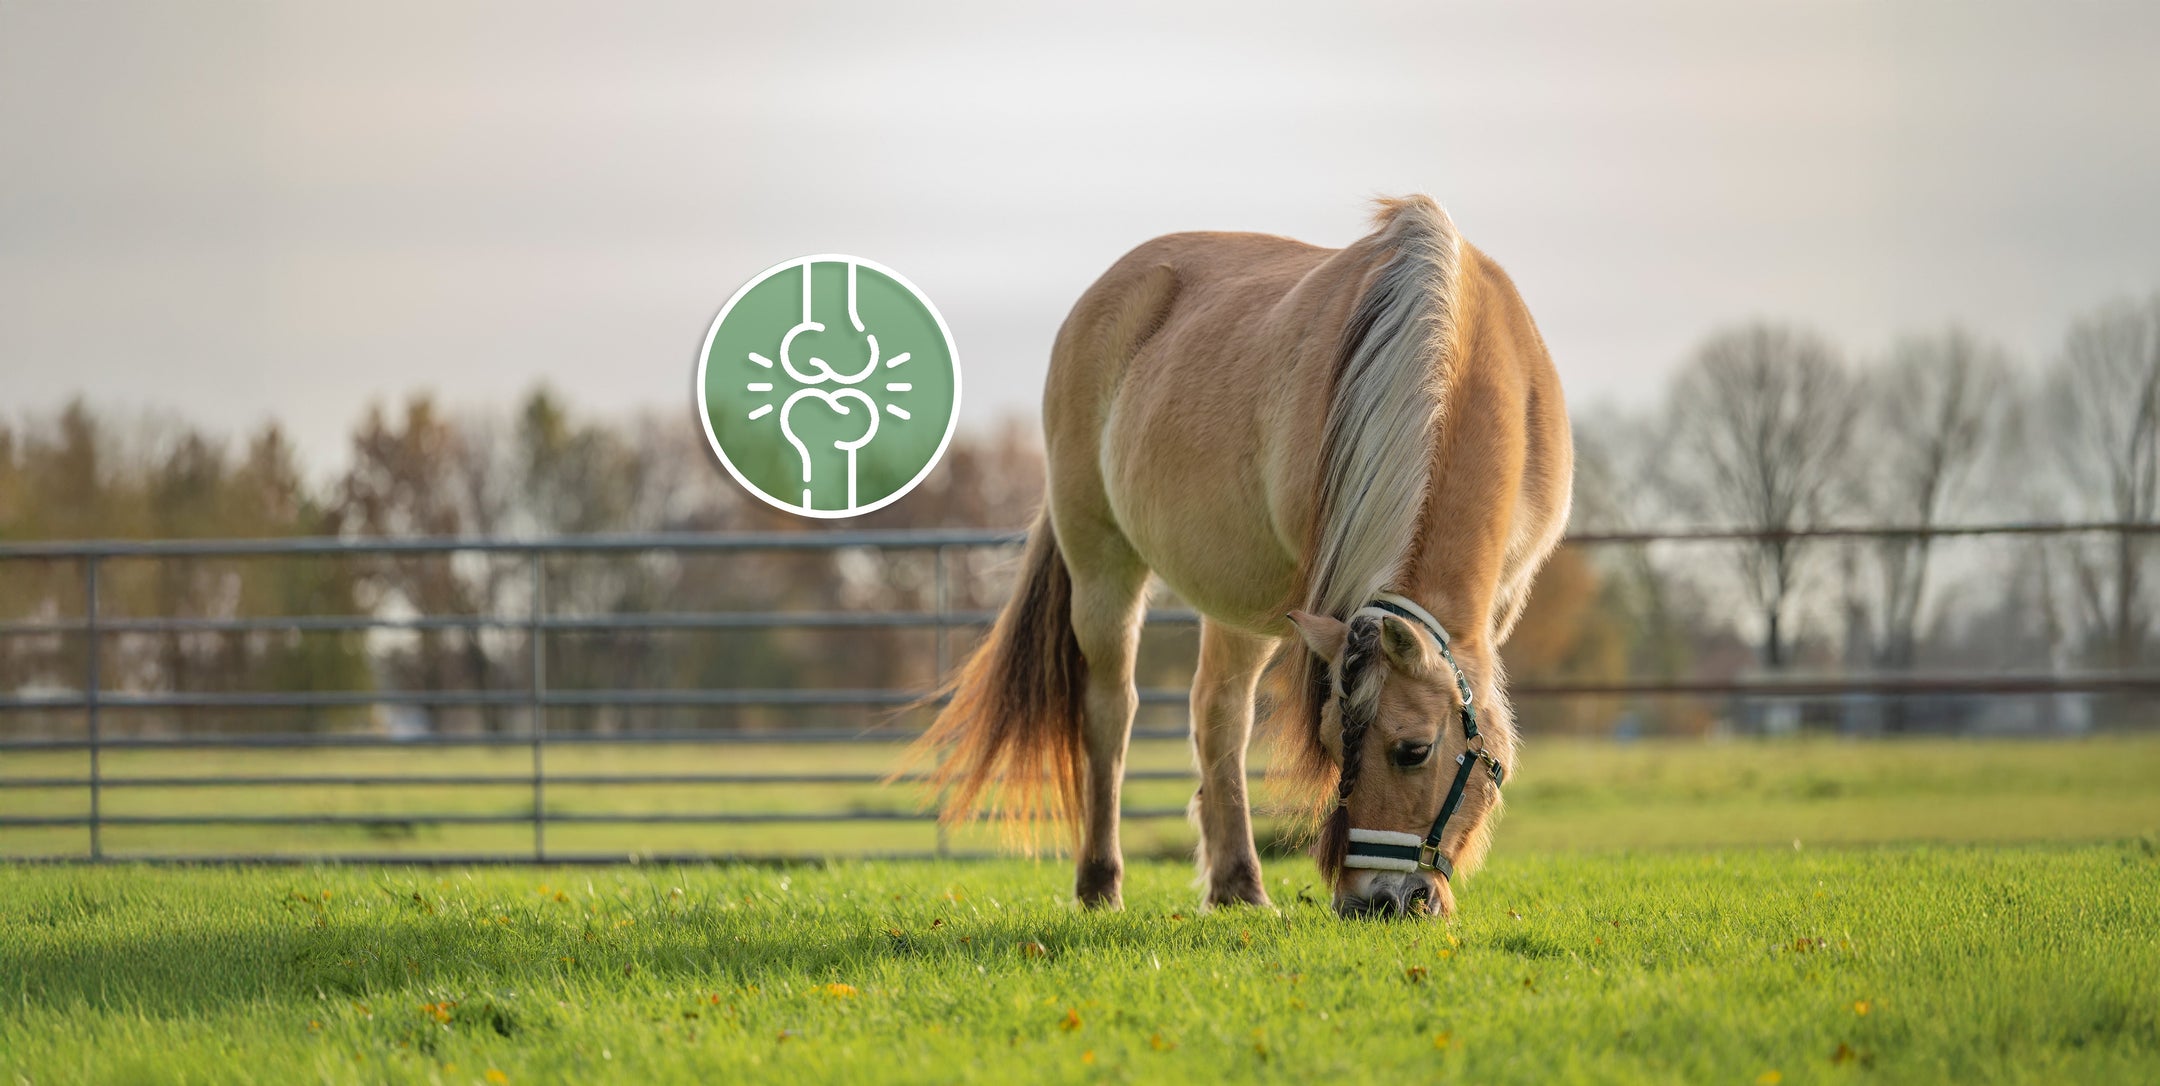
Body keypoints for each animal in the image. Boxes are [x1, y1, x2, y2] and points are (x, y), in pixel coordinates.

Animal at [909, 195, 1572, 918]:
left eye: (1413, 750)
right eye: (1333, 743)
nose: (1376, 902)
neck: (1460, 347)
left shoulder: (1494, 609)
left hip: (1243, 599)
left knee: (1218, 716)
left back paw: (1239, 885)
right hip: (1102, 564)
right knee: (1112, 712)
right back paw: (1100, 883)